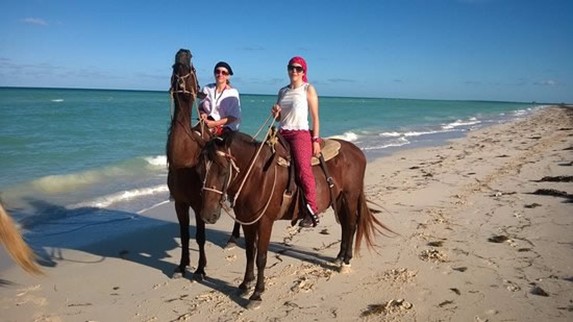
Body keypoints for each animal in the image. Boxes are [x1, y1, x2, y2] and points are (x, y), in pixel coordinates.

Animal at [165, 48, 239, 280]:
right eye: (174, 66)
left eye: (191, 67)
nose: (183, 53)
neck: (185, 160)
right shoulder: (180, 203)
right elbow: (184, 235)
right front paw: (182, 266)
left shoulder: (200, 205)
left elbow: (200, 236)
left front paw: (200, 269)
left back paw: (233, 238)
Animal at [196, 131, 388, 310]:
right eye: (199, 170)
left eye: (223, 170)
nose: (207, 215)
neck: (256, 176)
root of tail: (357, 151)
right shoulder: (247, 221)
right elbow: (250, 254)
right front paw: (245, 284)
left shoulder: (265, 222)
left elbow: (261, 258)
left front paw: (257, 294)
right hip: (339, 200)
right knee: (346, 228)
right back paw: (339, 257)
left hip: (349, 197)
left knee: (350, 225)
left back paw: (346, 261)